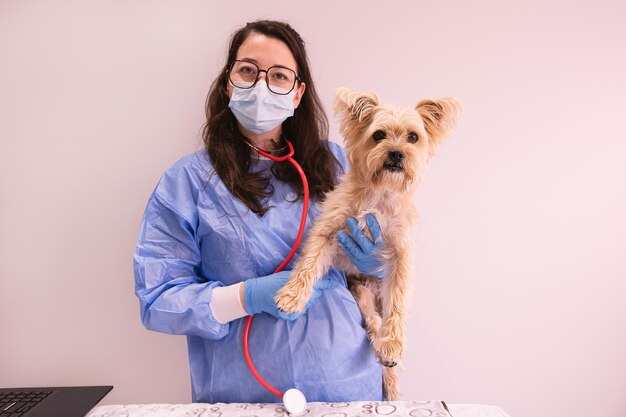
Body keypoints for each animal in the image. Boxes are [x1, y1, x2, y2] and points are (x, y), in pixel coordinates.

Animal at [276, 86, 460, 398]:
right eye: (379, 135)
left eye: (413, 137)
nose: (396, 153)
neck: (381, 193)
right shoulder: (329, 230)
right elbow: (308, 264)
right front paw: (292, 296)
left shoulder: (400, 254)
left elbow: (397, 299)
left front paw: (394, 343)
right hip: (361, 294)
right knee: (374, 325)